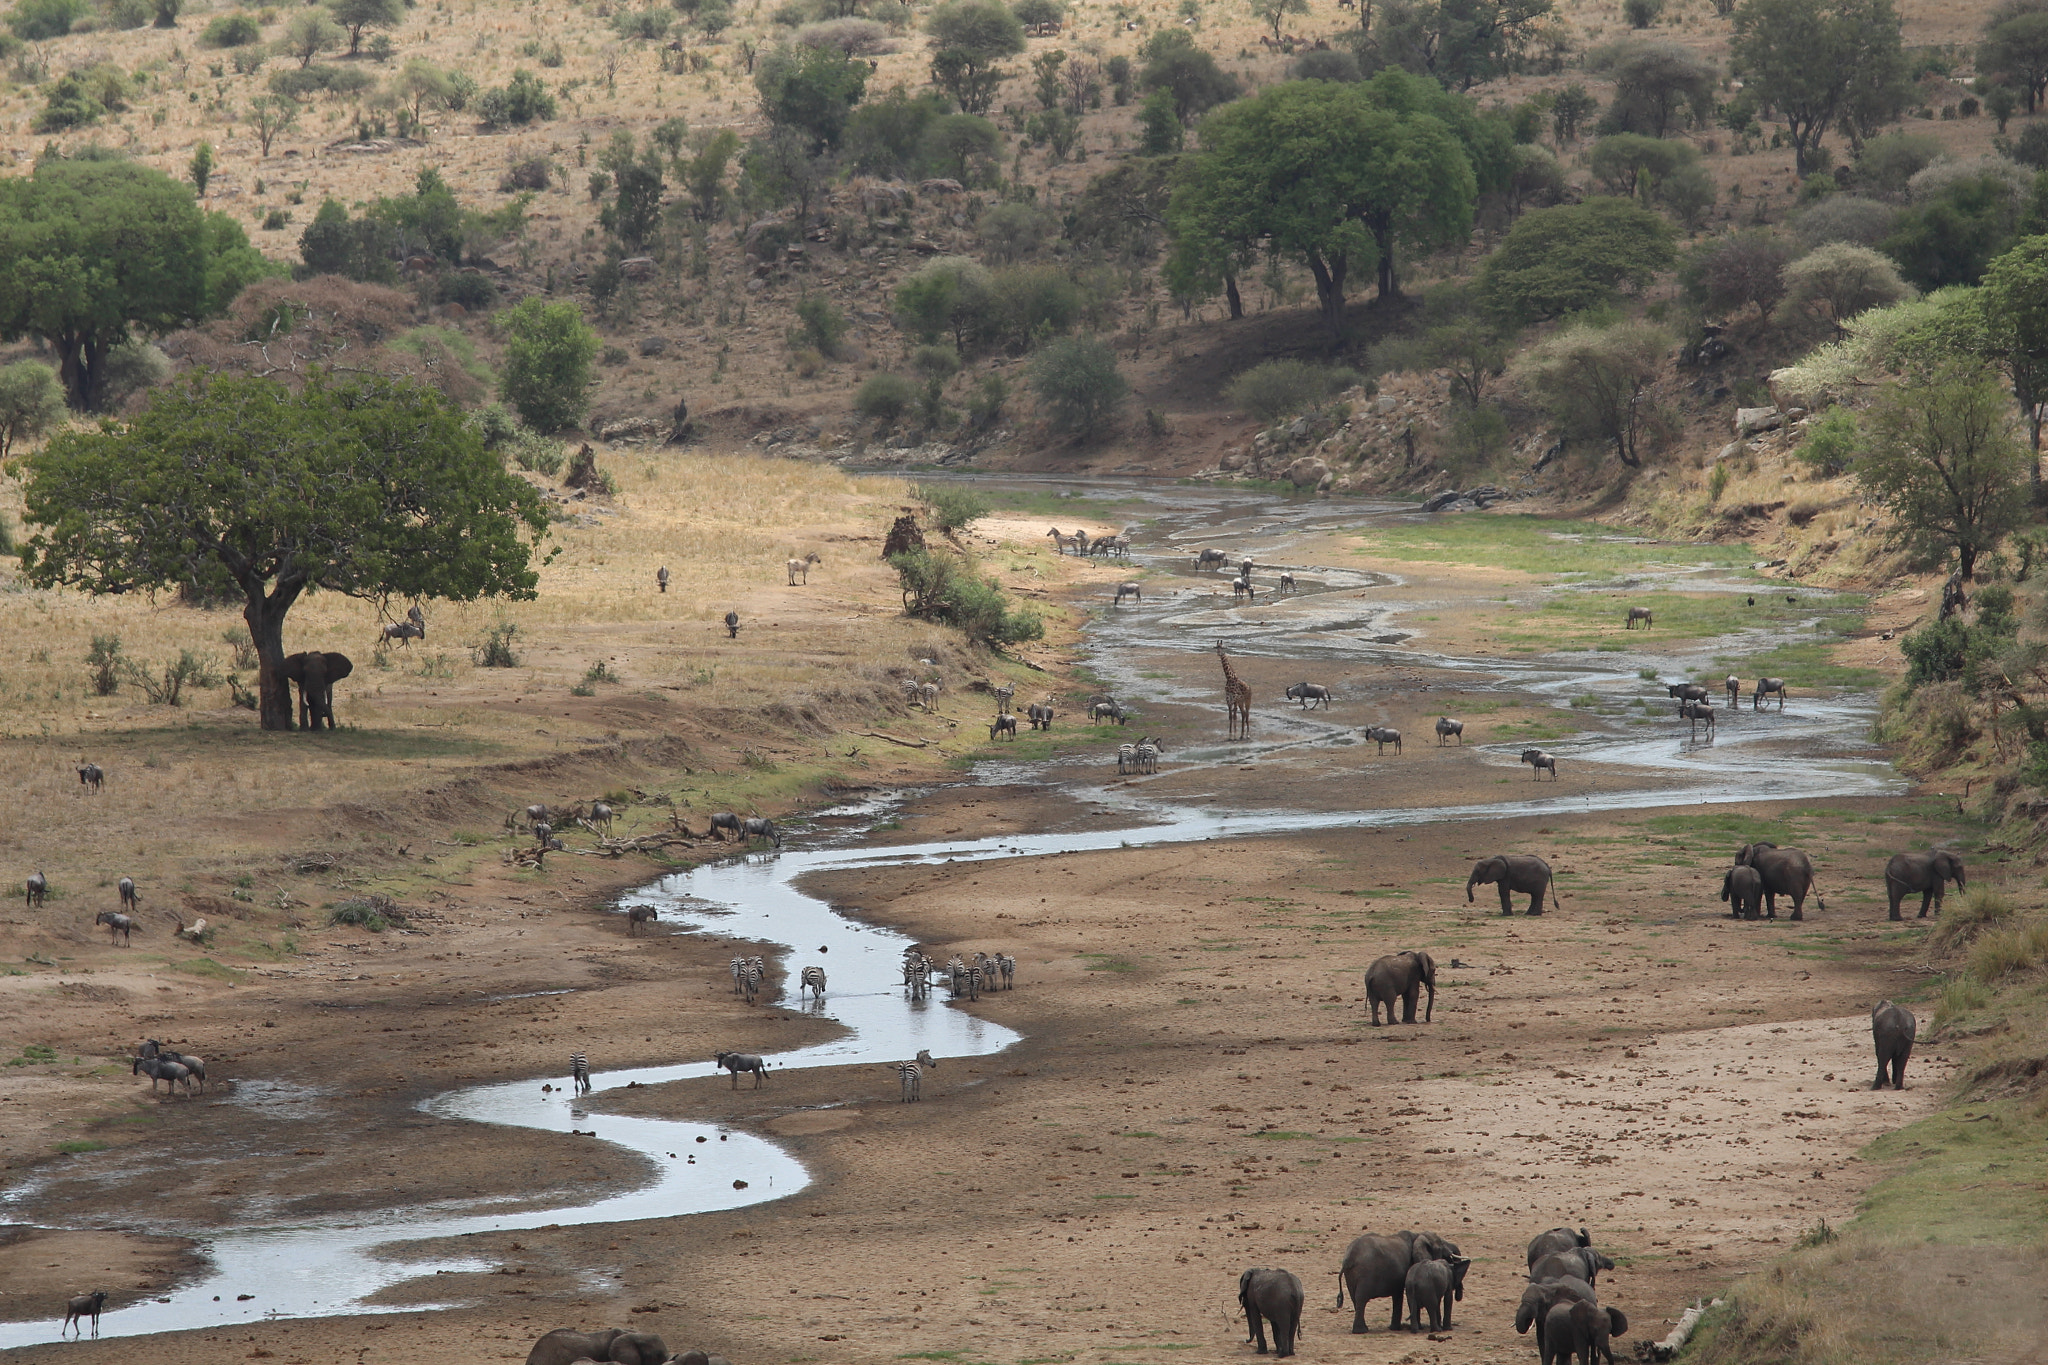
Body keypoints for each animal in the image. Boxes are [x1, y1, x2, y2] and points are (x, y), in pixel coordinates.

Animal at [1335, 1236, 1466, 1326]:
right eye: (1441, 1244)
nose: (1458, 1296)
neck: (1417, 1236)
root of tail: (1348, 1259)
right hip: (1365, 1274)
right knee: (1361, 1299)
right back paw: (1361, 1330)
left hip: (1351, 1276)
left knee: (1355, 1300)